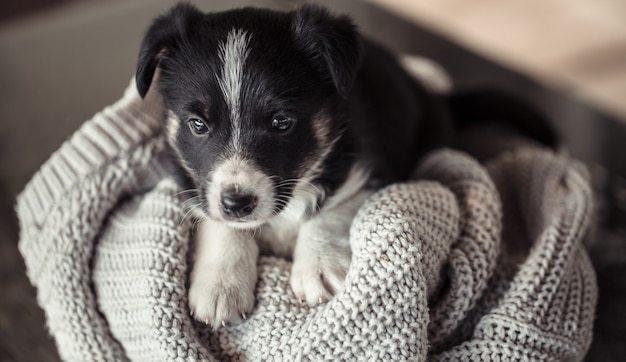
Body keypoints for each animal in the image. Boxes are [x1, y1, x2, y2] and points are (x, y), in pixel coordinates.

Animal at [136, 2, 448, 328]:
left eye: (281, 122)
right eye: (198, 124)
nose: (237, 203)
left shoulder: (368, 170)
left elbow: (331, 209)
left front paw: (319, 266)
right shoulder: (196, 187)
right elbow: (221, 224)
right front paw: (220, 285)